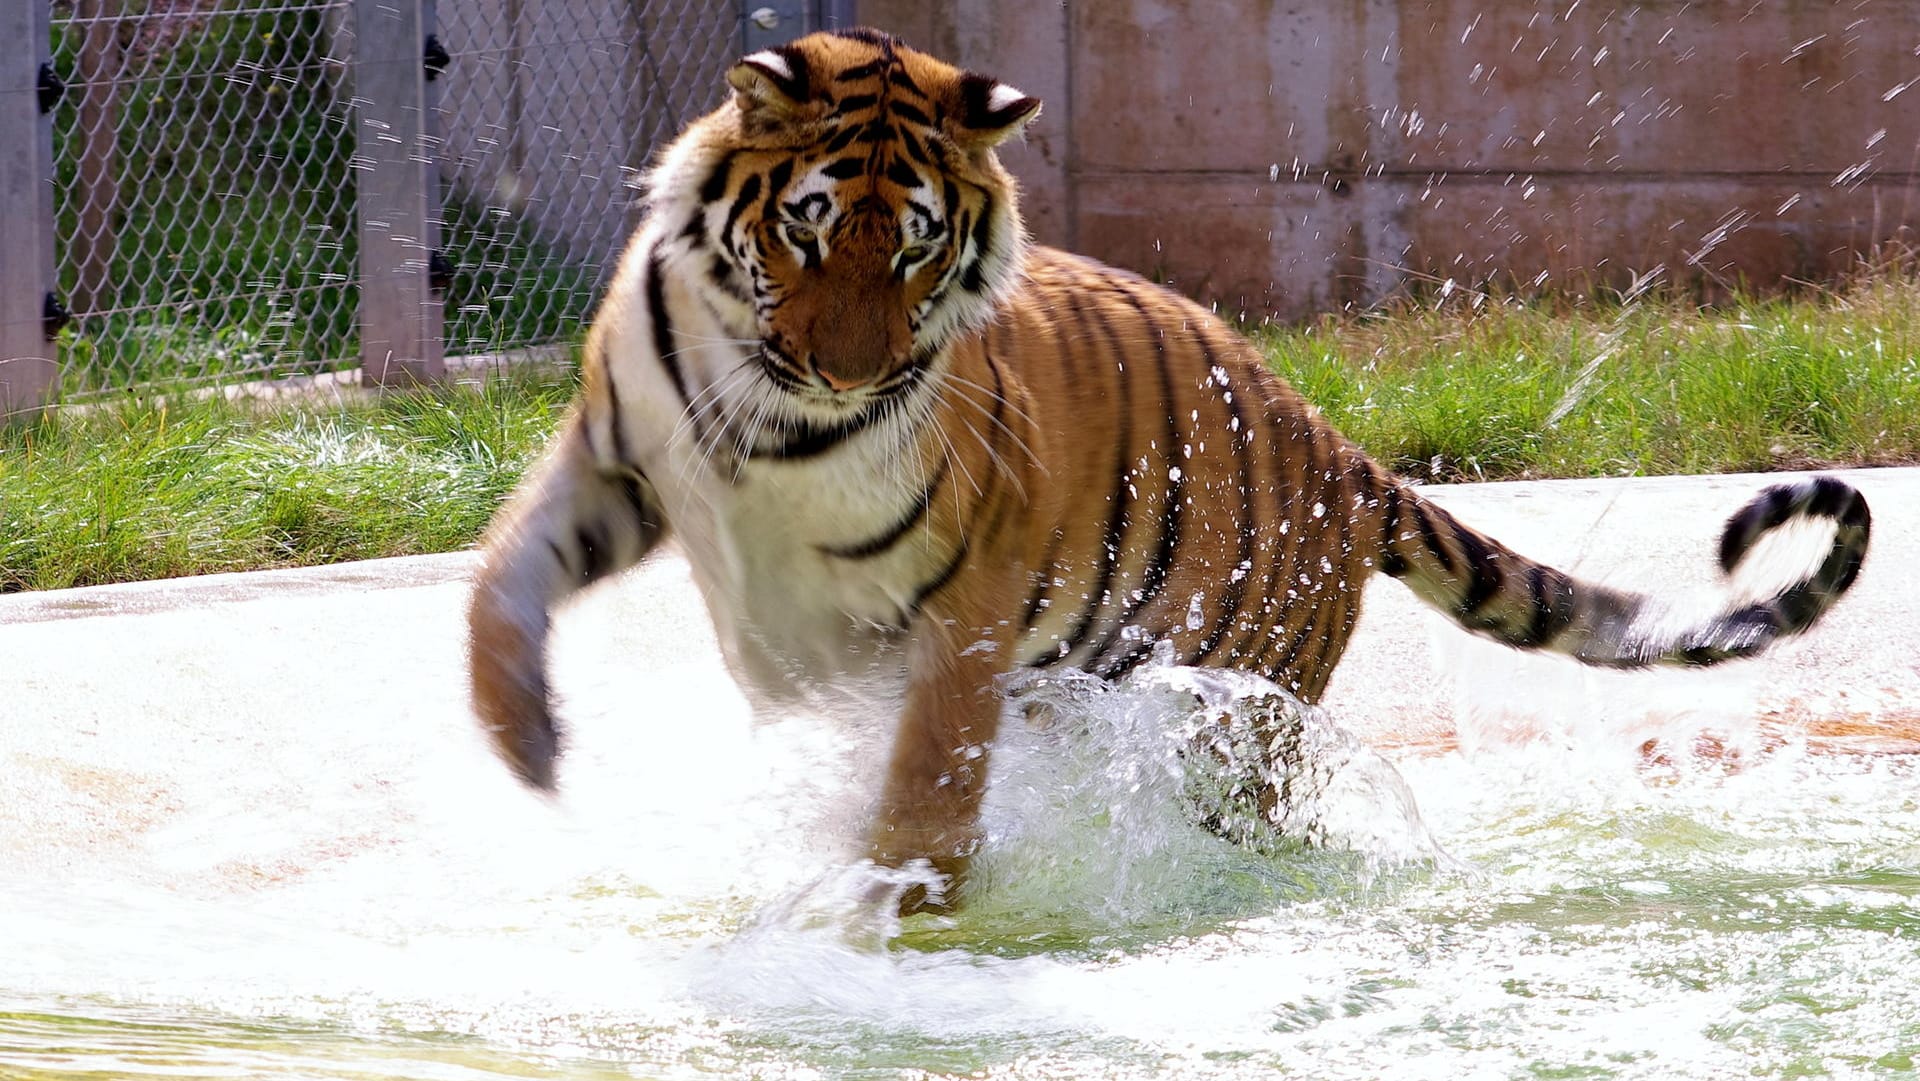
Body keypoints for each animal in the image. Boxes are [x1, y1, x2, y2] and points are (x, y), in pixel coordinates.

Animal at [464, 27, 1873, 913]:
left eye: (915, 247)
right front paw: (524, 744)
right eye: (805, 227)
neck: (770, 420)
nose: (845, 371)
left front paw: (892, 914)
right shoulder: (616, 460)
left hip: (1231, 702)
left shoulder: (961, 609)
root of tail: (1347, 453)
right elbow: (498, 582)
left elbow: (924, 790)